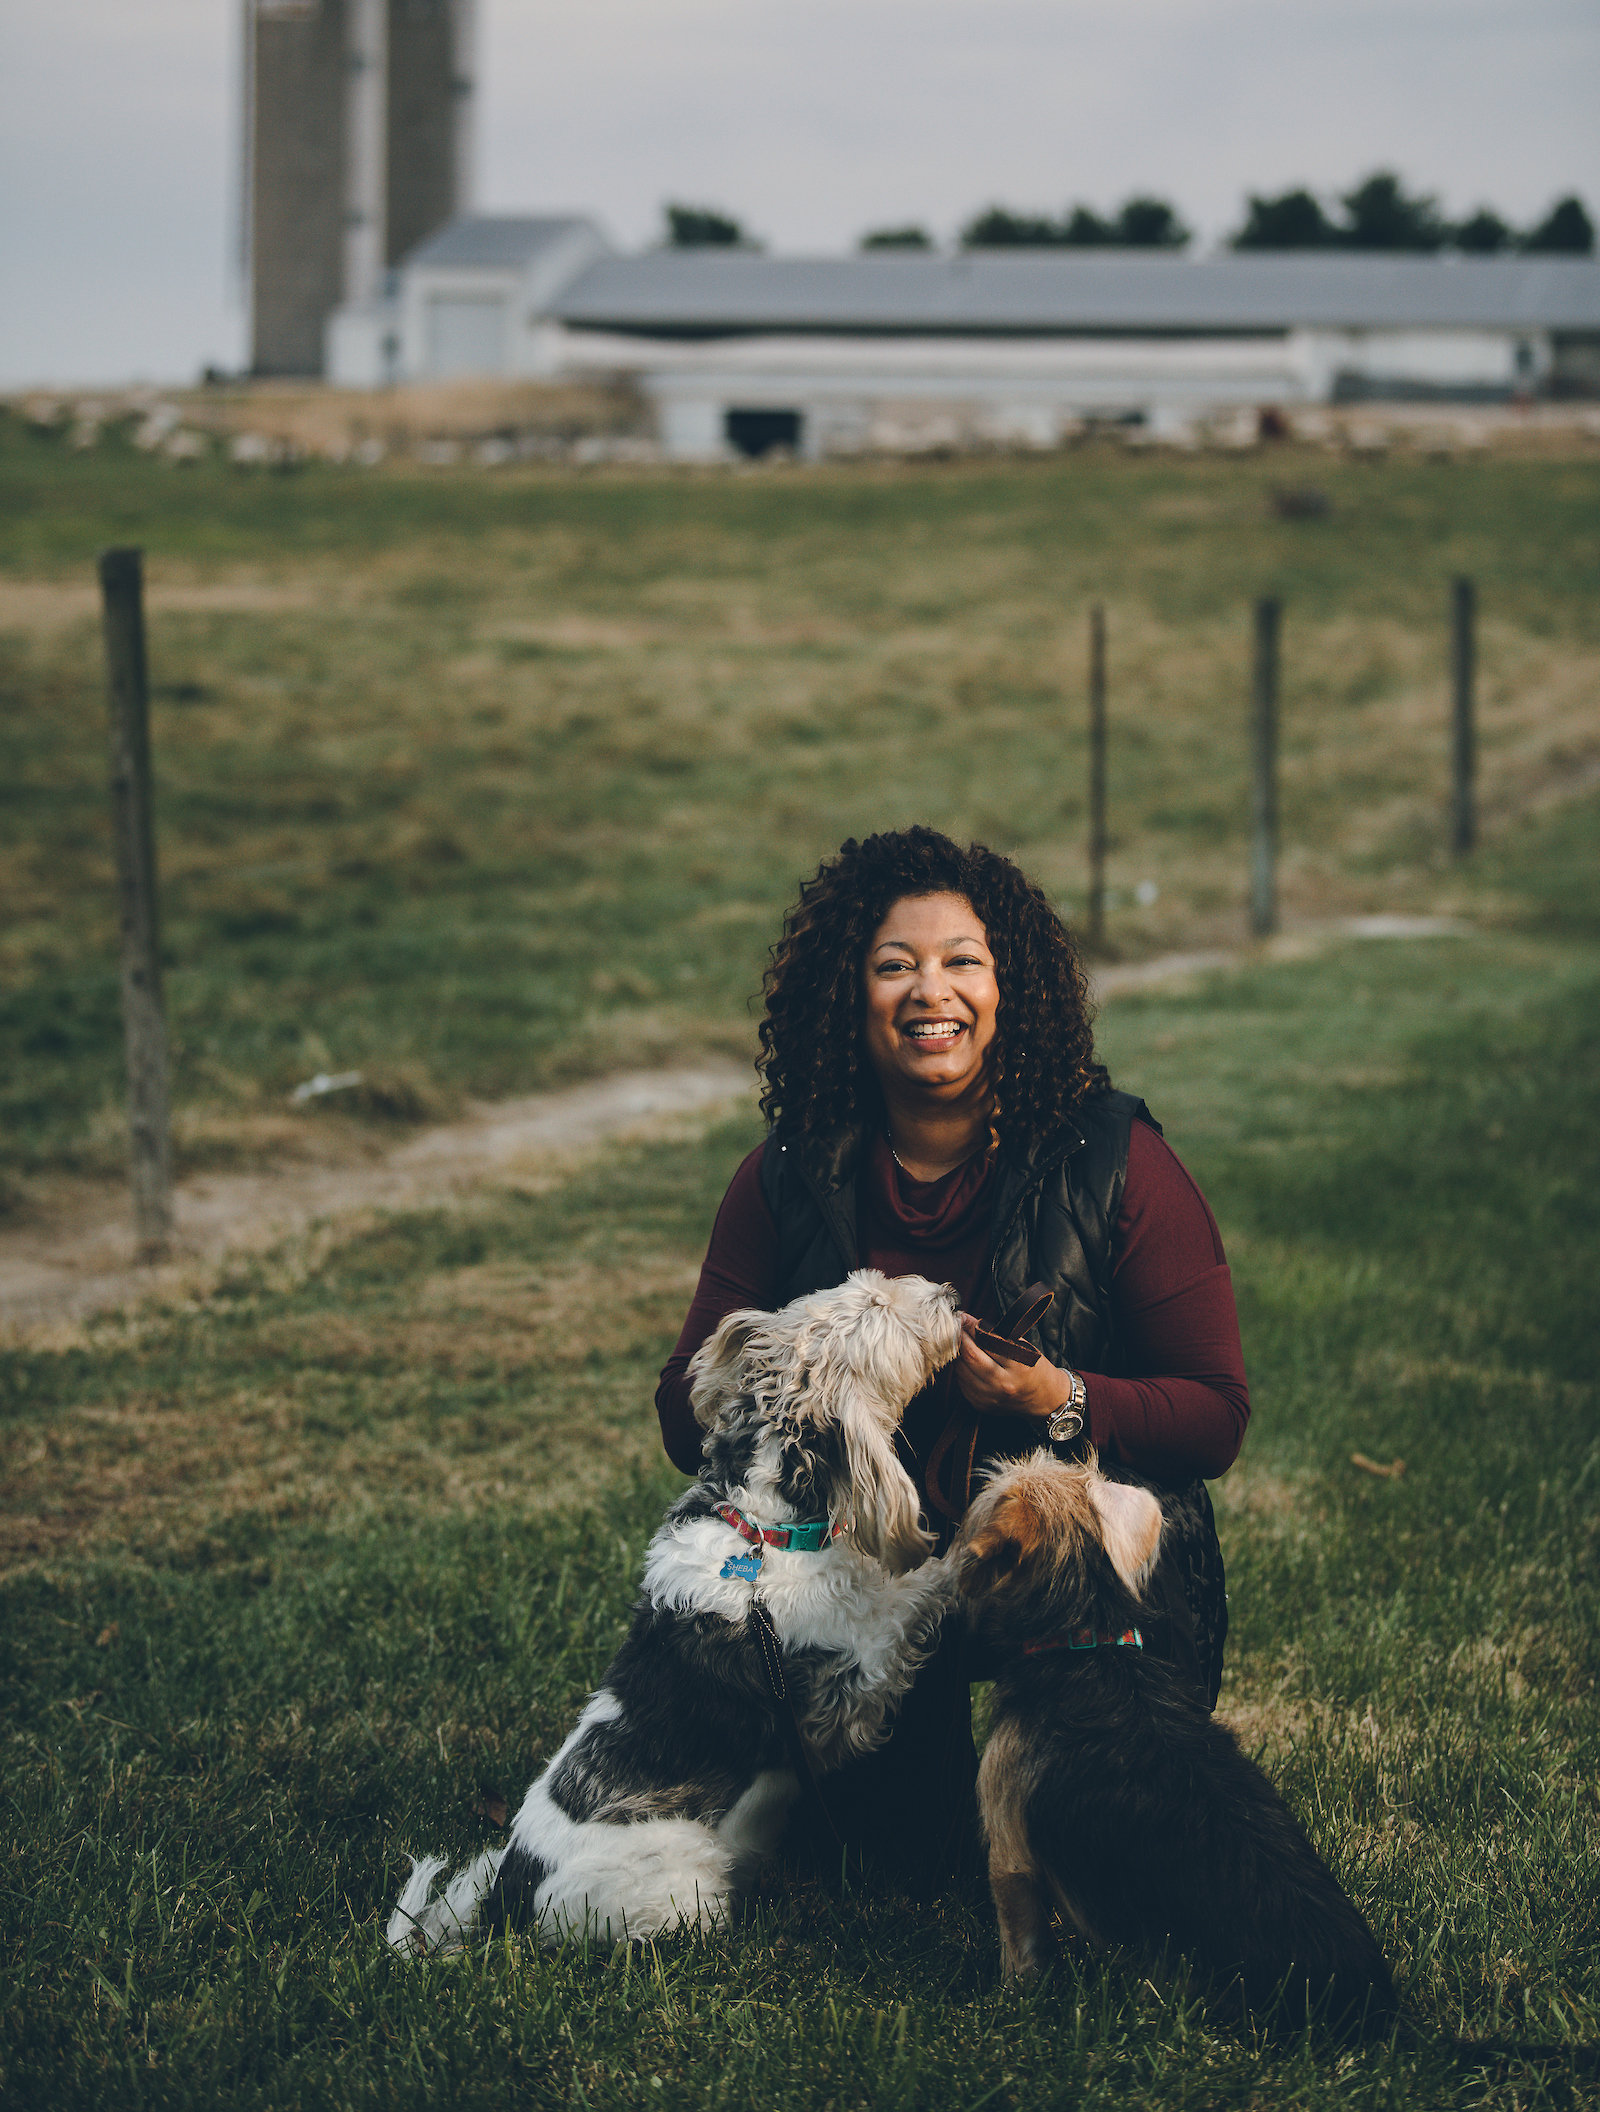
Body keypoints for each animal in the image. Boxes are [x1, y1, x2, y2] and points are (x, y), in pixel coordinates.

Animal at [388, 1258, 966, 1951]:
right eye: (878, 1307)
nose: (949, 1294)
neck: (766, 1533)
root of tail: (509, 1908)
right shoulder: (848, 1684)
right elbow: (927, 1584)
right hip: (686, 1879)